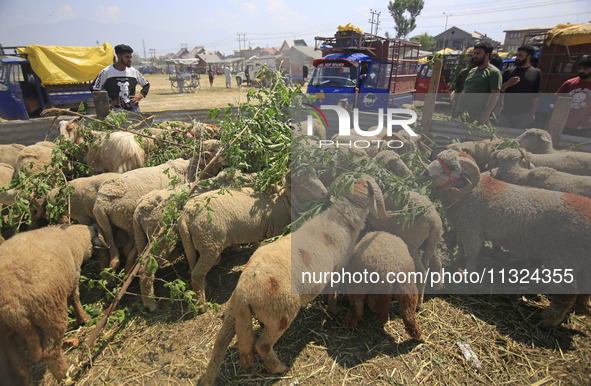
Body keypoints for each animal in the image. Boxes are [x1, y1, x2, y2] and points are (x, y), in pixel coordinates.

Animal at [0, 225, 107, 384]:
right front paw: (84, 319)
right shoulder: (74, 277)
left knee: (19, 367)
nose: (94, 227)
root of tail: (12, 308)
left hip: (7, 334)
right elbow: (75, 299)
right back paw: (65, 376)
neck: (73, 238)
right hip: (51, 312)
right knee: (50, 353)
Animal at [201, 176, 396, 384]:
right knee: (262, 345)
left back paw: (208, 378)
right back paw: (279, 368)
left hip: (234, 311)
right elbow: (332, 293)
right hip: (281, 313)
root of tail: (245, 290)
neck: (342, 220)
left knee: (220, 342)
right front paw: (334, 310)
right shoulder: (337, 268)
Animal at [426, 149, 591, 328]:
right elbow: (460, 244)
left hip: (563, 258)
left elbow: (472, 254)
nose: (425, 171)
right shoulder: (464, 226)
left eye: (451, 167)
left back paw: (548, 321)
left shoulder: (473, 230)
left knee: (567, 293)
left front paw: (469, 275)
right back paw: (577, 309)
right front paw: (457, 260)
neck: (468, 192)